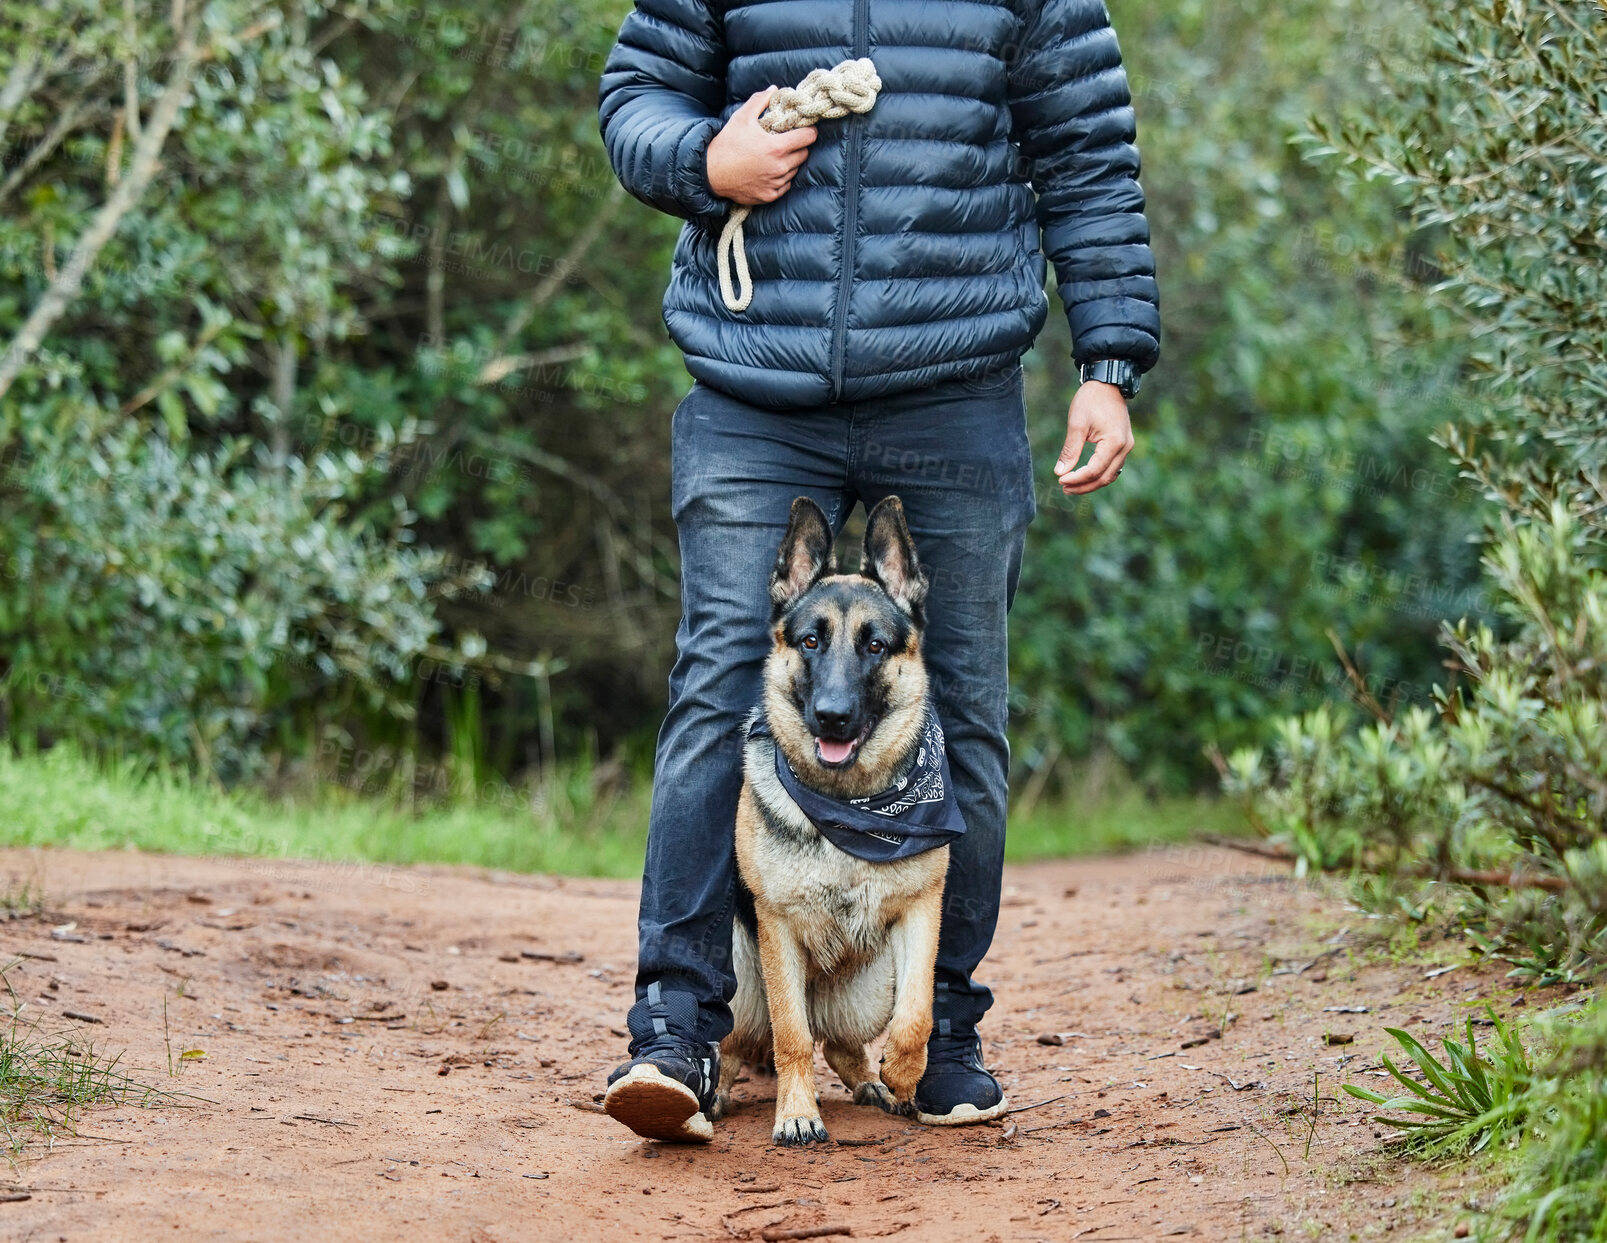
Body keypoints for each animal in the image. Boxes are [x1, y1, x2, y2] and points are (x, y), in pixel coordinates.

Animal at [710, 495, 944, 1144]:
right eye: (811, 641)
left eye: (875, 646)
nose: (832, 717)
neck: (849, 812)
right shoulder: (779, 928)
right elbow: (792, 1037)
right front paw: (797, 1112)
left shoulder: (922, 910)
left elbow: (918, 1014)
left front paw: (904, 1075)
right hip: (739, 982)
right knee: (743, 1041)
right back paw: (707, 1094)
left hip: (868, 991)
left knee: (838, 1042)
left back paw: (873, 1084)